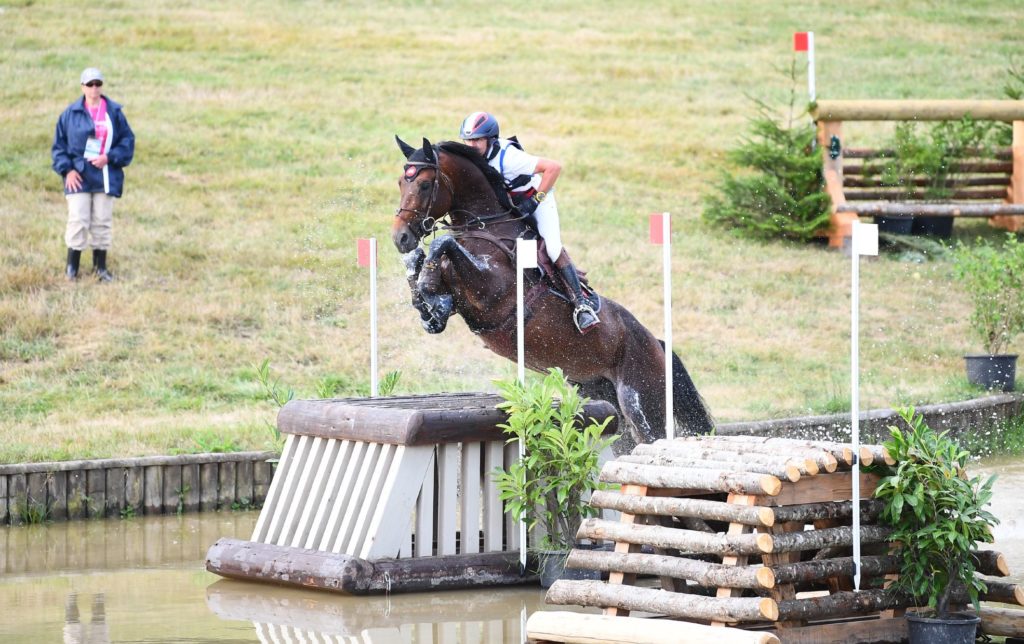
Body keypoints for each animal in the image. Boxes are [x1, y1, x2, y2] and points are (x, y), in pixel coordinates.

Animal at [391, 135, 712, 450]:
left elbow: (441, 243)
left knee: (650, 438)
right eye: (401, 182)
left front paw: (432, 299)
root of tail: (657, 343)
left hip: (641, 400)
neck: (484, 226)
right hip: (603, 399)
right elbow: (419, 260)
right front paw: (430, 309)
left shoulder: (492, 294)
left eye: (423, 184)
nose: (400, 237)